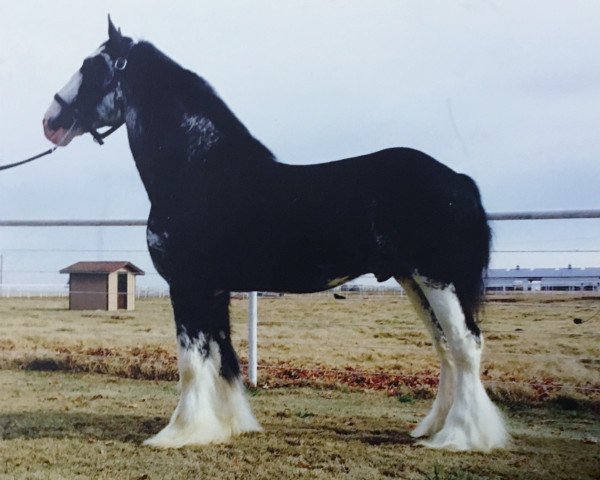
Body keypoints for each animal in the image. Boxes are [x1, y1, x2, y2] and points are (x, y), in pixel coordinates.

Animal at [42, 17, 508, 450]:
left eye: (92, 66)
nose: (50, 121)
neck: (199, 170)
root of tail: (457, 179)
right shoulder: (213, 289)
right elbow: (223, 357)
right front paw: (227, 426)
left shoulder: (188, 285)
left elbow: (191, 361)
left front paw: (180, 432)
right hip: (414, 280)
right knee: (445, 349)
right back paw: (431, 429)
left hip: (437, 278)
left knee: (465, 345)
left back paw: (462, 437)